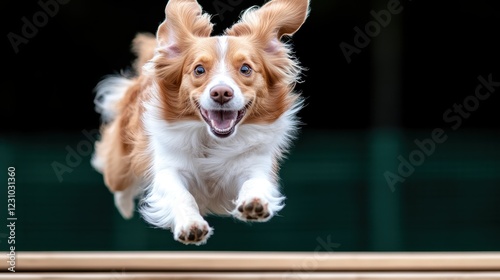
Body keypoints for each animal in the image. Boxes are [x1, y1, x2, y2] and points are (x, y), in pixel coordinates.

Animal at [90, 0, 308, 245]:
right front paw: (191, 225)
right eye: (199, 70)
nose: (221, 92)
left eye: (245, 69)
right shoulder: (169, 167)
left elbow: (255, 182)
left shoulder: (256, 164)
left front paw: (255, 203)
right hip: (119, 165)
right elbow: (181, 195)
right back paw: (124, 204)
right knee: (118, 182)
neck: (213, 139)